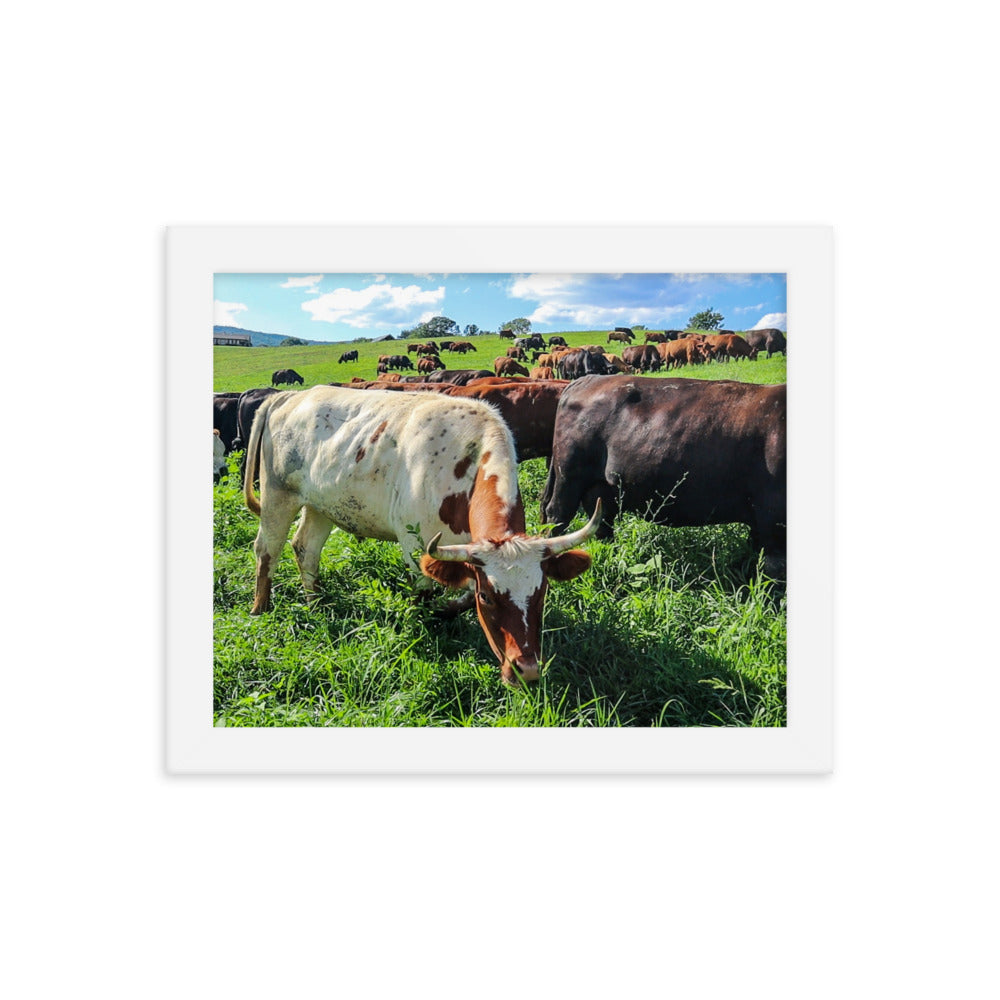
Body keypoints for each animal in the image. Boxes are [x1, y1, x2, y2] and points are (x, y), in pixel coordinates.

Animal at [242, 386, 600, 684]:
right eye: (489, 598)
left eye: (542, 592)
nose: (526, 671)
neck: (465, 464)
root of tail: (289, 396)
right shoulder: (416, 546)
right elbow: (425, 595)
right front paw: (426, 627)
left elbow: (461, 596)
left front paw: (446, 611)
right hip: (277, 496)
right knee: (266, 550)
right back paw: (261, 610)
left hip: (321, 506)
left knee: (306, 549)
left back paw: (315, 602)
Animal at [540, 375, 787, 579]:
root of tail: (584, 380)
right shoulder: (773, 517)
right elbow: (774, 570)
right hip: (568, 478)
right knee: (557, 516)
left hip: (602, 488)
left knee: (602, 522)